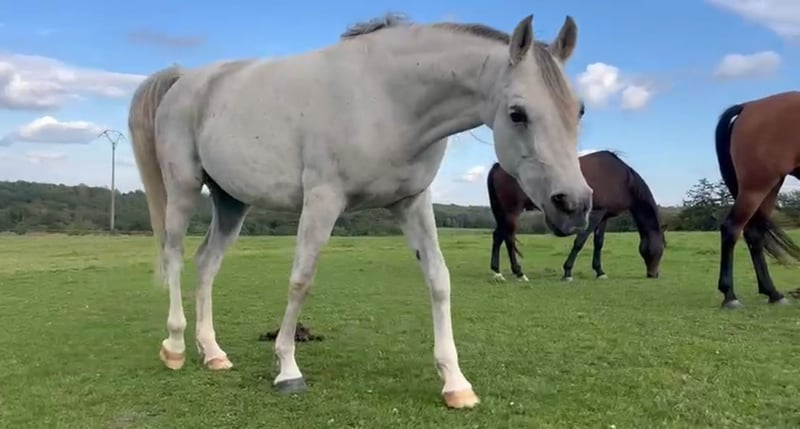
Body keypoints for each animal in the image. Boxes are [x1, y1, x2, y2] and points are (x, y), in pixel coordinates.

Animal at [127, 13, 593, 409]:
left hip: (231, 201)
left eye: (580, 109)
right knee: (174, 257)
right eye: (517, 113)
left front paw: (455, 383)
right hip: (184, 189)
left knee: (206, 263)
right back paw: (175, 347)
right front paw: (287, 370)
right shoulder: (323, 199)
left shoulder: (413, 203)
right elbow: (301, 281)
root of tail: (186, 80)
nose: (574, 205)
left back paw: (213, 353)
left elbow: (438, 280)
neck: (386, 97)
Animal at [487, 150, 666, 282]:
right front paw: (567, 272)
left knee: (498, 236)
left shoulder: (604, 216)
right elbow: (580, 241)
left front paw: (600, 272)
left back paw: (497, 272)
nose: (654, 274)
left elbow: (599, 243)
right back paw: (519, 273)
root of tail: (498, 166)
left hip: (503, 212)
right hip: (512, 211)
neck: (622, 179)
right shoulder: (595, 214)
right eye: (662, 248)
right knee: (509, 239)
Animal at [713, 91, 800, 309]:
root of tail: (748, 106)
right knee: (731, 229)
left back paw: (773, 293)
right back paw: (730, 296)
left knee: (754, 234)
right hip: (756, 187)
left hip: (770, 186)